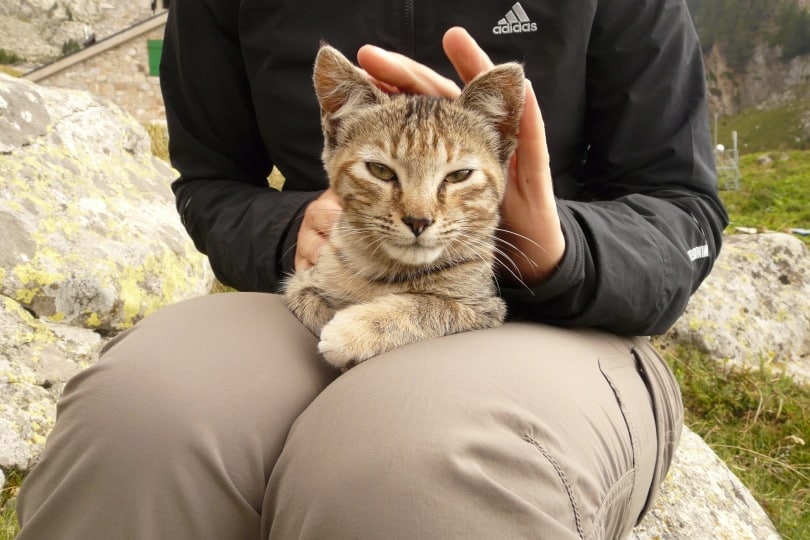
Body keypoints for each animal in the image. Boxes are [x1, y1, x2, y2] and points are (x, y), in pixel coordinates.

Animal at [282, 44, 524, 370]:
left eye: (459, 175)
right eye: (380, 171)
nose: (418, 220)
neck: (390, 270)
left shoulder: (485, 308)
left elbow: (432, 306)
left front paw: (354, 329)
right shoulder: (299, 284)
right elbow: (310, 304)